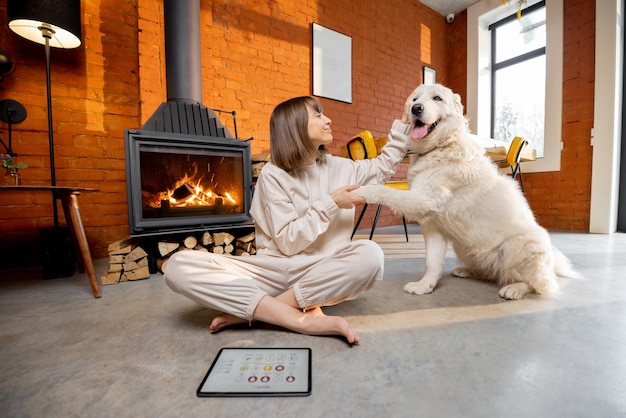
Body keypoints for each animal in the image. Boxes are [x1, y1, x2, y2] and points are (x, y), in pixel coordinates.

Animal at [354, 84, 576, 300]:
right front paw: (425, 286)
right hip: (463, 245)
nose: (415, 108)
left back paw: (514, 289)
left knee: (537, 284)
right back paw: (467, 270)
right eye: (415, 99)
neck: (440, 147)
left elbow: (384, 191)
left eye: (437, 98)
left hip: (519, 246)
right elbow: (431, 262)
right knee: (492, 272)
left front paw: (364, 189)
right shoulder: (433, 226)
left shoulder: (422, 199)